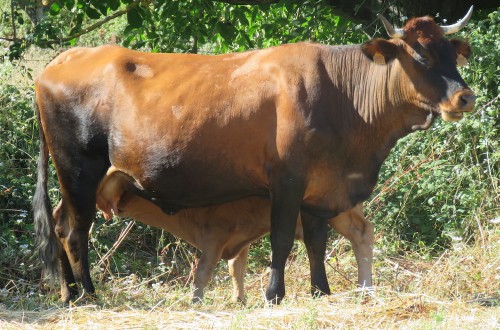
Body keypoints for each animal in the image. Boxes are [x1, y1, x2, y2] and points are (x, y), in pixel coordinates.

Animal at [95, 166, 374, 302]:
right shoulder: (240, 240)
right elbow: (235, 269)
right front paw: (238, 299)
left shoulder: (215, 237)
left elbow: (203, 271)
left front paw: (196, 301)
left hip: (339, 212)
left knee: (362, 232)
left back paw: (365, 289)